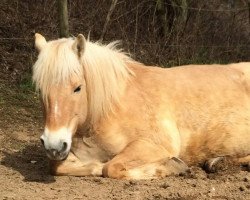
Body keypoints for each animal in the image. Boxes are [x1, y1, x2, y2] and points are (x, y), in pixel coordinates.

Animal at [33, 32, 250, 180]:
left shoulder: (152, 145)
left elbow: (111, 168)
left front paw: (172, 166)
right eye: (40, 89)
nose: (53, 144)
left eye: (77, 88)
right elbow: (58, 166)